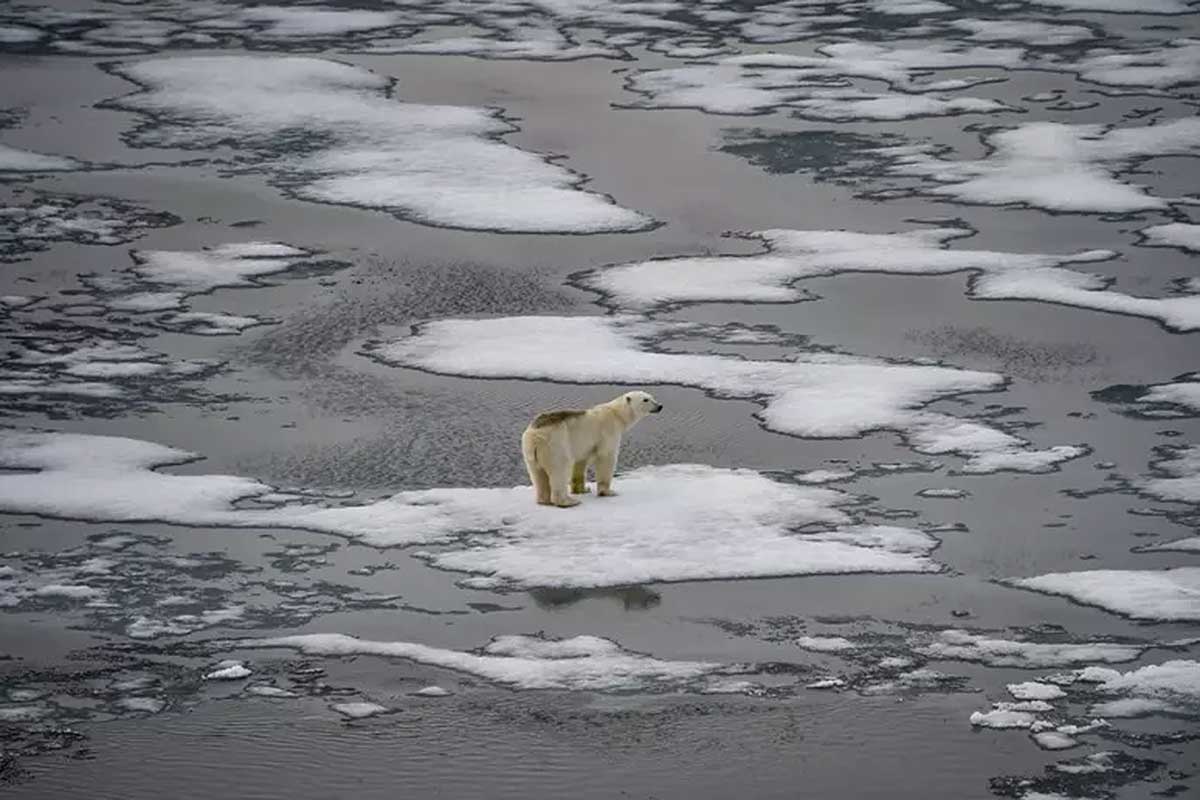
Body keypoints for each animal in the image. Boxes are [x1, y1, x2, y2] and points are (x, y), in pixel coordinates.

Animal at [518, 393, 662, 506]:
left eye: (652, 397)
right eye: (645, 399)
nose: (660, 406)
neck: (616, 414)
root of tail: (535, 436)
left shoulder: (583, 445)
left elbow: (580, 463)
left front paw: (583, 489)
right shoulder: (608, 432)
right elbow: (606, 457)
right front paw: (608, 492)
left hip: (530, 452)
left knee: (537, 474)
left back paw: (543, 499)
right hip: (556, 445)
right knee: (560, 469)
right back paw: (568, 501)